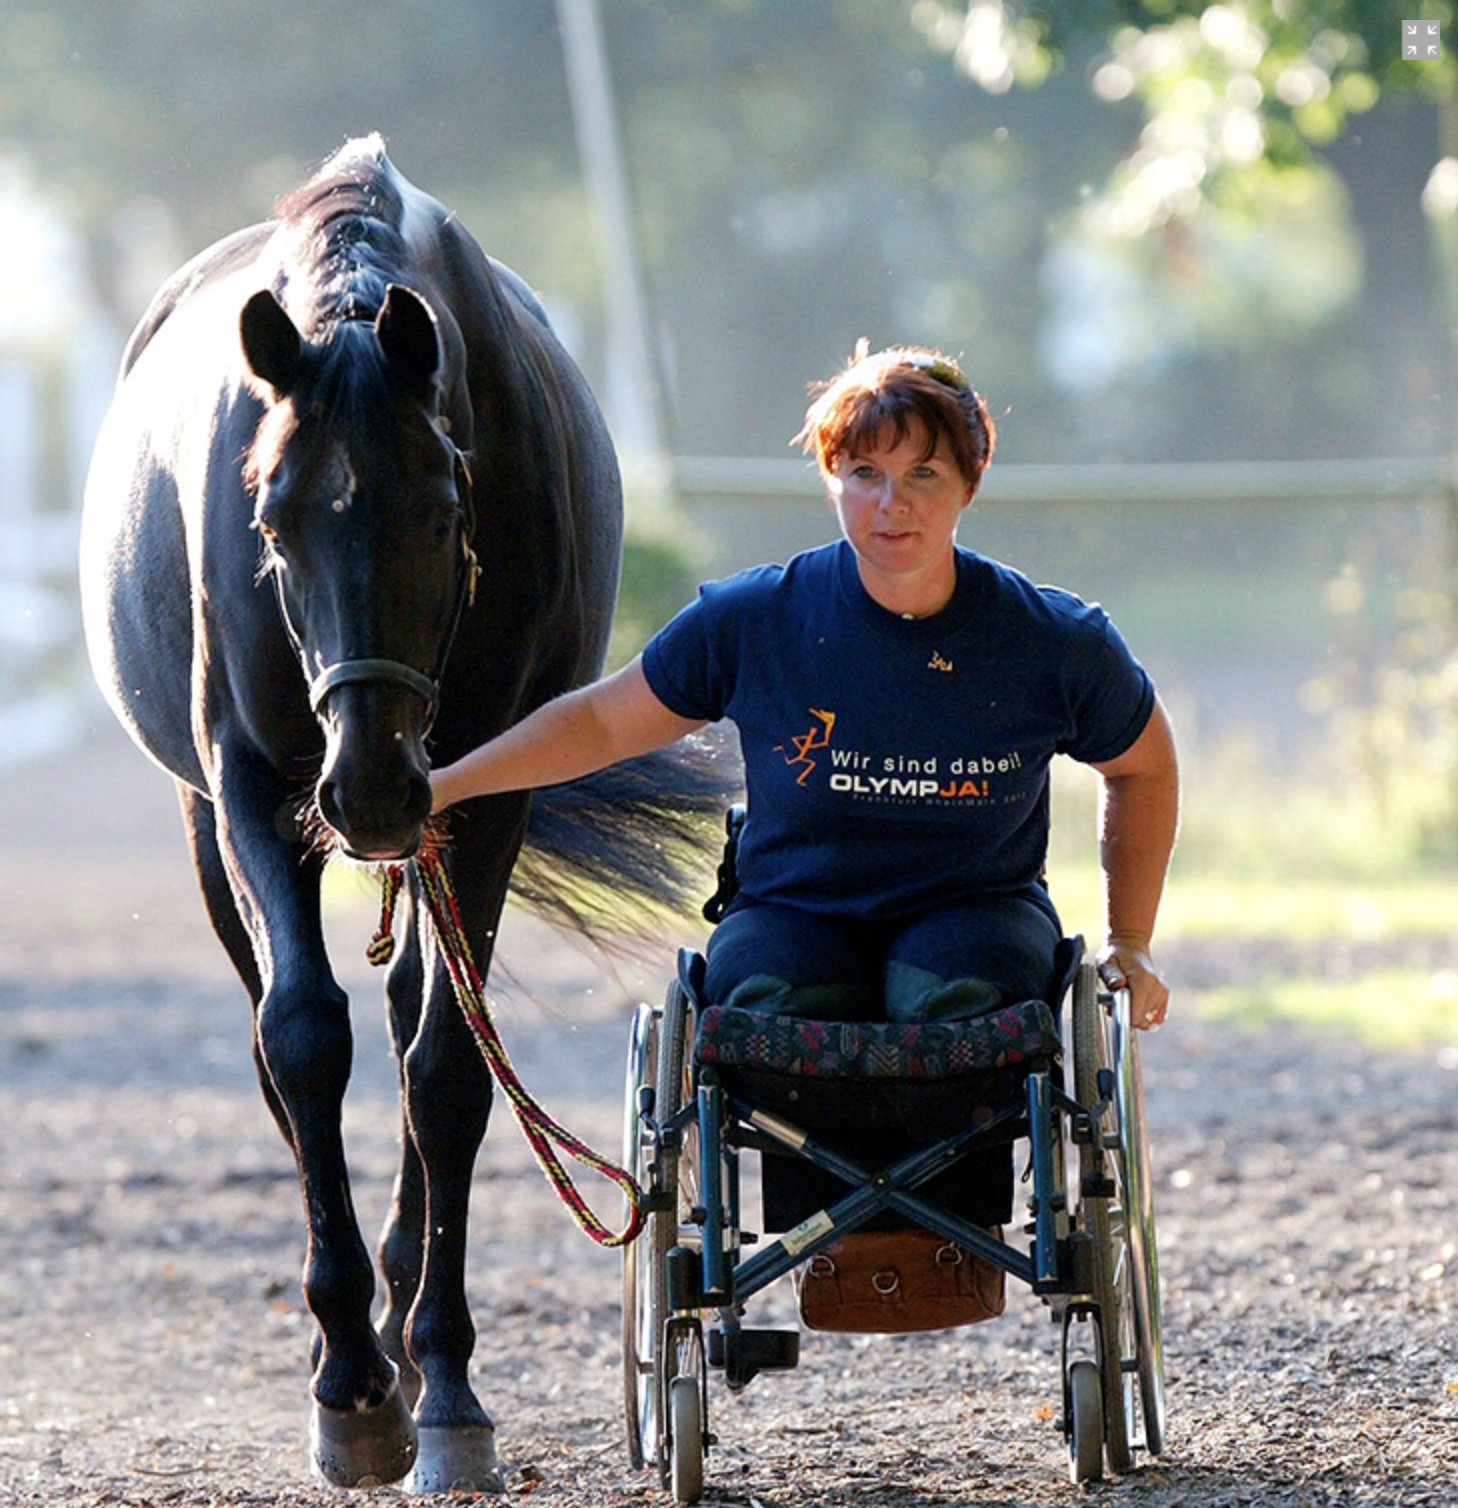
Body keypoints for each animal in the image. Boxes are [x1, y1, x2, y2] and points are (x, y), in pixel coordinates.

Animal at [79, 141, 717, 1495]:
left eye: (444, 511)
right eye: (270, 518)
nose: (368, 785)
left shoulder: (484, 798)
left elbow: (446, 1069)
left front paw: (448, 1383)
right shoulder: (254, 788)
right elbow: (304, 1037)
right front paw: (349, 1385)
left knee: (420, 1014)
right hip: (214, 821)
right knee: (278, 1041)